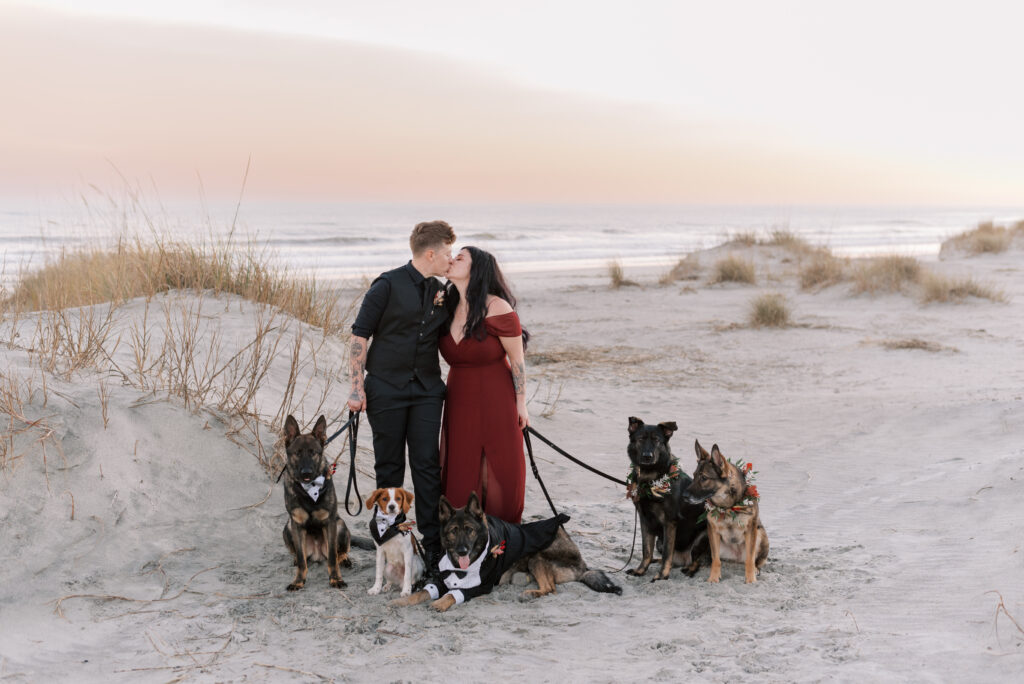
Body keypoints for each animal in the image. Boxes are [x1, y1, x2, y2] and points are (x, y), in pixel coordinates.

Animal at [282, 413, 354, 589]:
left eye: (313, 453)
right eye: (298, 453)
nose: (306, 473)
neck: (308, 490)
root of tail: (317, 553)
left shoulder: (330, 522)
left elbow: (333, 557)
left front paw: (336, 579)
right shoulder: (296, 524)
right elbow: (302, 560)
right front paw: (298, 581)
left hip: (340, 525)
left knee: (339, 553)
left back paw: (345, 560)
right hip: (287, 528)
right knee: (300, 556)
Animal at [389, 491, 614, 614]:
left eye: (469, 530)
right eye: (453, 531)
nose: (462, 550)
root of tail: (583, 565)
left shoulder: (480, 586)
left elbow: (453, 594)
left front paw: (441, 603)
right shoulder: (443, 579)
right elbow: (424, 592)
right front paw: (403, 600)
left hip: (537, 556)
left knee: (551, 589)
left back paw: (531, 593)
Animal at [618, 417, 708, 581]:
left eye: (657, 440)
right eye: (641, 439)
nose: (647, 456)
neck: (650, 478)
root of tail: (683, 559)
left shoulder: (669, 522)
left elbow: (667, 552)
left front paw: (662, 575)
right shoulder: (645, 520)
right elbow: (646, 550)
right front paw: (641, 570)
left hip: (702, 537)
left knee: (697, 560)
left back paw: (689, 569)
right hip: (659, 541)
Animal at [688, 438, 770, 581]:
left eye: (704, 478)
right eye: (694, 476)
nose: (684, 495)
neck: (727, 507)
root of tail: (736, 557)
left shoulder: (751, 529)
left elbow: (750, 559)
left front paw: (750, 580)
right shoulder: (713, 531)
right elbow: (716, 560)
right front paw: (713, 578)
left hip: (760, 535)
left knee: (754, 560)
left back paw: (755, 569)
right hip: (707, 539)